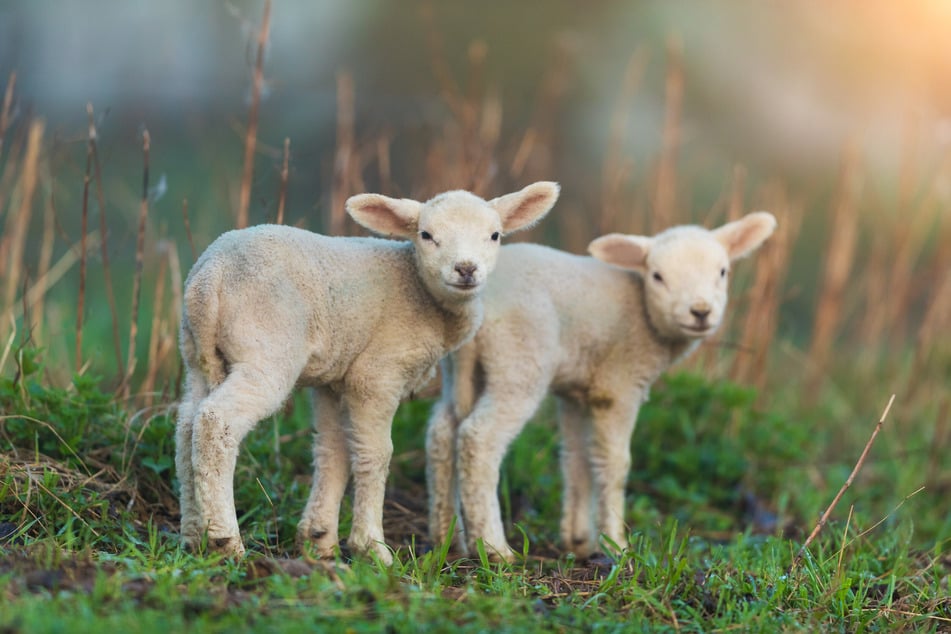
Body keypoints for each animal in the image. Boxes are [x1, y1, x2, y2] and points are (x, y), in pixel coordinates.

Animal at [176, 183, 560, 564]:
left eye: (494, 235)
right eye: (426, 235)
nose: (466, 269)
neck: (420, 291)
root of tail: (210, 277)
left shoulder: (334, 379)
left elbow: (333, 451)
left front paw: (319, 541)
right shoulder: (376, 375)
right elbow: (376, 454)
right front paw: (371, 547)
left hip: (197, 355)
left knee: (186, 426)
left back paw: (193, 535)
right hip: (266, 349)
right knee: (215, 421)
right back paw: (225, 540)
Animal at [428, 211, 776, 556]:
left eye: (722, 272)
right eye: (657, 277)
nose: (700, 312)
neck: (645, 315)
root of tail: (475, 303)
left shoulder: (576, 392)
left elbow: (577, 458)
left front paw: (579, 540)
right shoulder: (618, 387)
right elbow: (615, 464)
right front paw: (616, 544)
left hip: (459, 367)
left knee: (442, 431)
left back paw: (447, 537)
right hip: (518, 363)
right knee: (478, 438)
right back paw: (494, 547)